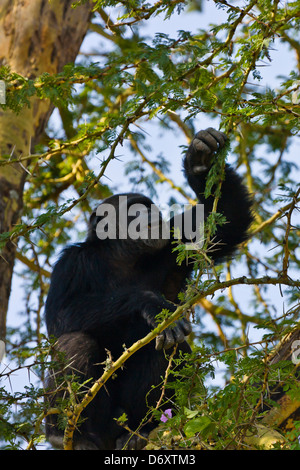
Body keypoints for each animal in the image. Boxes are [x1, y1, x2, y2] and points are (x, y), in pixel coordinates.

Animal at [44, 126, 253, 450]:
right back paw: (73, 435)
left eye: (148, 206)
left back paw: (143, 430)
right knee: (75, 343)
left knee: (166, 342)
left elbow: (225, 225)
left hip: (129, 417)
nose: (151, 215)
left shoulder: (175, 242)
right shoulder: (69, 266)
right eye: (134, 210)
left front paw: (200, 158)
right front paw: (149, 304)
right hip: (100, 422)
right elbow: (60, 317)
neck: (122, 256)